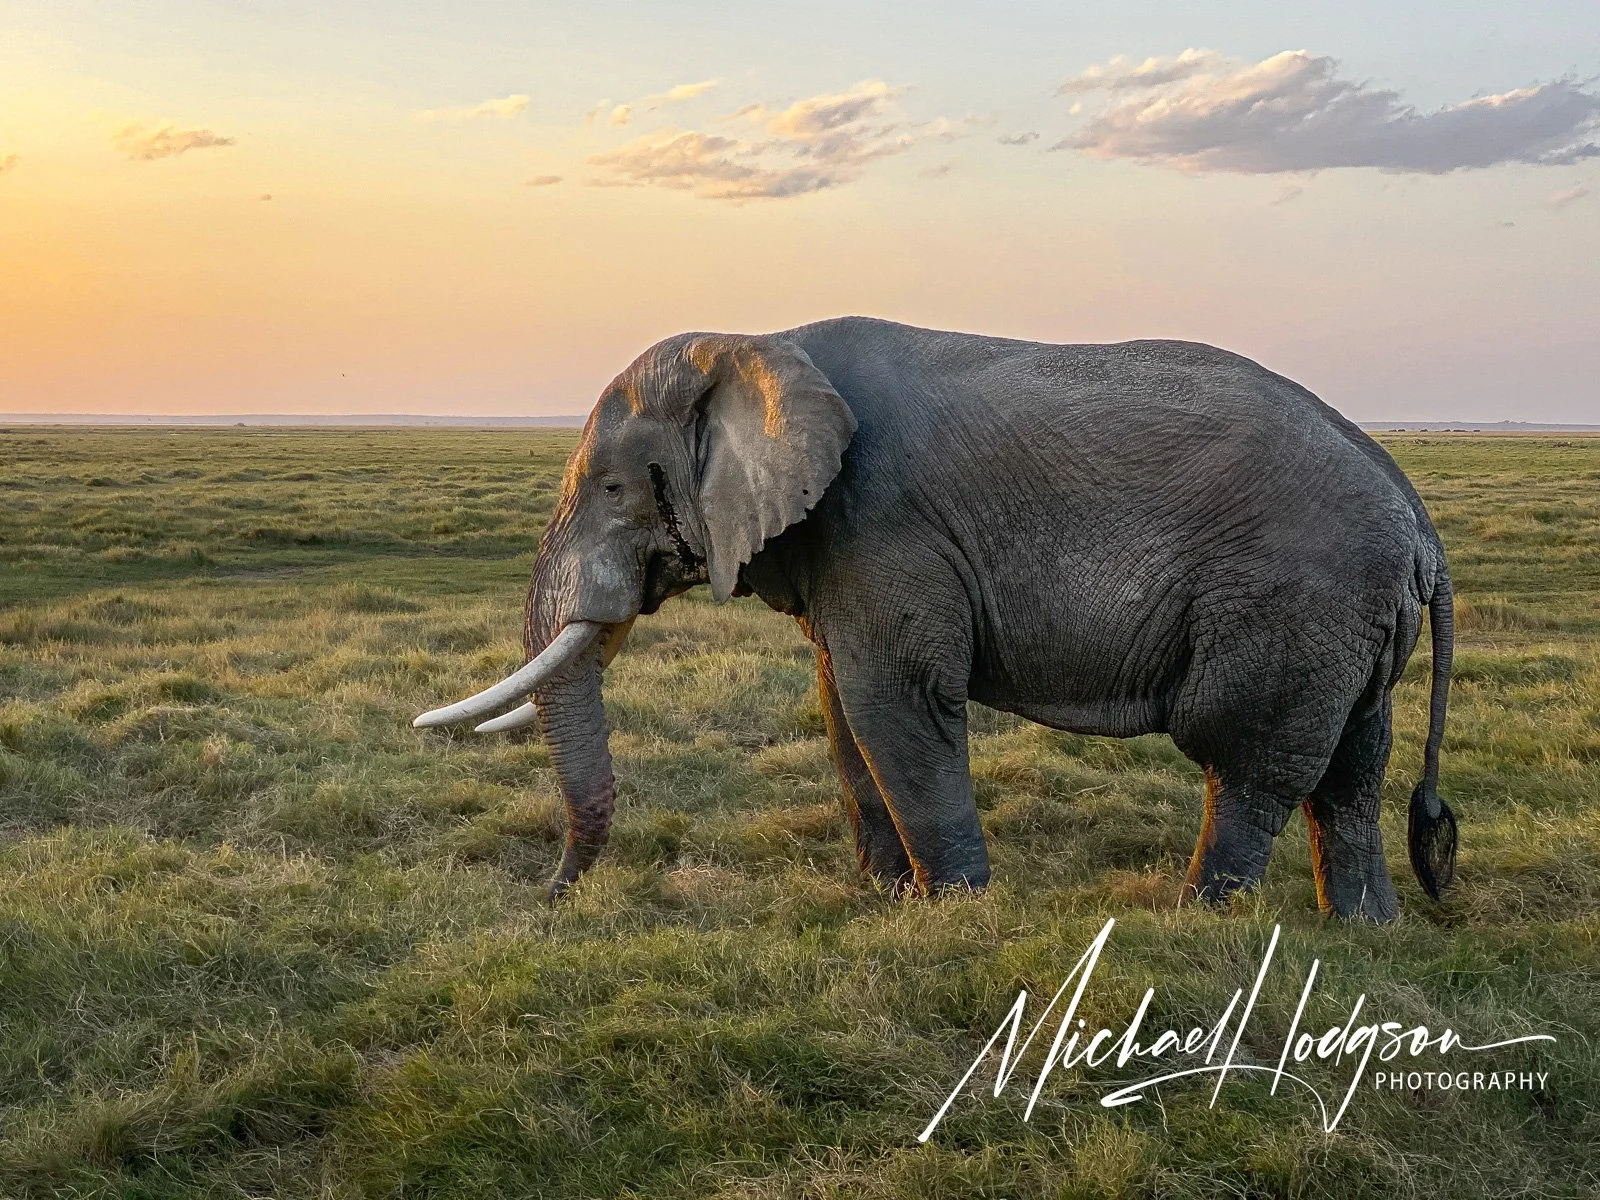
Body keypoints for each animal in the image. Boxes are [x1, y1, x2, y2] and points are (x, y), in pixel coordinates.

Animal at [414, 317, 1457, 922]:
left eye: (614, 489)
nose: (548, 903)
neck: (762, 340)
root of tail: (1421, 525)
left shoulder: (883, 519)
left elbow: (896, 702)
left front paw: (950, 916)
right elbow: (843, 706)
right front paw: (886, 900)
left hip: (1294, 604)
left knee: (1246, 758)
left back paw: (1197, 924)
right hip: (1352, 623)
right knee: (1352, 767)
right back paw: (1359, 930)